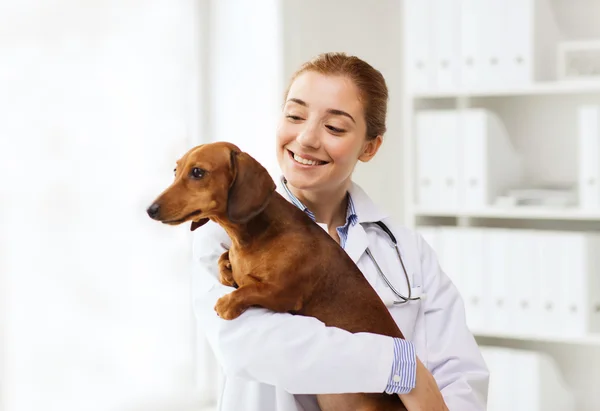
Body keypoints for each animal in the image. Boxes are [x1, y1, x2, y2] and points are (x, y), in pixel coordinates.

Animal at [147, 142, 408, 411]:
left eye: (197, 172)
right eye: (176, 170)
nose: (150, 210)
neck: (254, 235)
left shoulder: (284, 294)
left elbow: (250, 289)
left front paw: (227, 302)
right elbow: (224, 260)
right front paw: (228, 271)